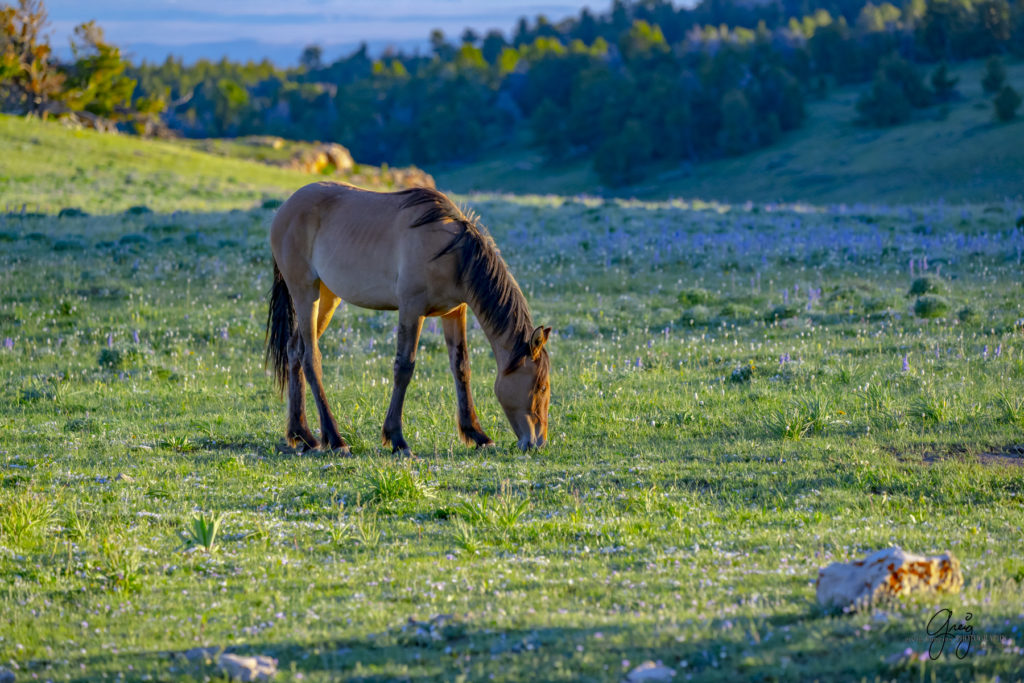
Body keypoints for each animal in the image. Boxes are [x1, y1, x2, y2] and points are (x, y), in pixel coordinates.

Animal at [266, 181, 552, 454]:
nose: (537, 443)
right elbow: (404, 368)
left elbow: (461, 367)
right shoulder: (412, 309)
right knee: (310, 358)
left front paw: (477, 434)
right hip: (306, 292)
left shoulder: (455, 312)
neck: (453, 253)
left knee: (294, 350)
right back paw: (335, 440)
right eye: (541, 387)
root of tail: (285, 209)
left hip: (327, 297)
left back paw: (302, 434)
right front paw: (397, 439)